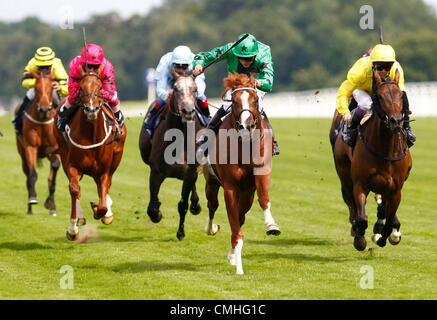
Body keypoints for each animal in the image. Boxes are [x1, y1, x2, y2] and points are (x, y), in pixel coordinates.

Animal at [15, 69, 61, 215]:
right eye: (36, 88)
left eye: (51, 87)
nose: (44, 109)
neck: (42, 121)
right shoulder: (30, 147)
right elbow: (32, 174)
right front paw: (33, 198)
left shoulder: (54, 149)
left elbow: (53, 175)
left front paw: (51, 204)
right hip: (22, 153)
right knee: (27, 176)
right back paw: (29, 208)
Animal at [53, 65, 127, 240]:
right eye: (81, 88)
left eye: (100, 87)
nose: (91, 109)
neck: (91, 136)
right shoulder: (72, 165)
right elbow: (74, 189)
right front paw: (73, 229)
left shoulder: (104, 171)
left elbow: (103, 200)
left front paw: (101, 211)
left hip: (116, 158)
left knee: (107, 186)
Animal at [138, 69, 203, 240]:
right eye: (175, 88)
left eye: (195, 89)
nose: (188, 111)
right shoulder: (156, 172)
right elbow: (153, 206)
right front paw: (157, 213)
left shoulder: (189, 173)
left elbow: (183, 205)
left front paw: (180, 233)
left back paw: (196, 204)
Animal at [202, 73, 278, 276]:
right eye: (234, 101)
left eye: (255, 99)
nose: (247, 126)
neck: (245, 145)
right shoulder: (229, 187)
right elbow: (234, 225)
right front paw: (239, 266)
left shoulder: (260, 175)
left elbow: (264, 198)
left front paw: (271, 225)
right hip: (211, 182)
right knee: (213, 206)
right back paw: (211, 228)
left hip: (247, 194)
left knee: (241, 214)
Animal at [330, 69, 412, 250]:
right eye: (380, 97)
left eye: (400, 95)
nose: (396, 121)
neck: (386, 151)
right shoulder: (361, 183)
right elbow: (361, 217)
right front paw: (360, 238)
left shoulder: (396, 189)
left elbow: (388, 220)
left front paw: (384, 236)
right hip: (343, 170)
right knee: (349, 200)